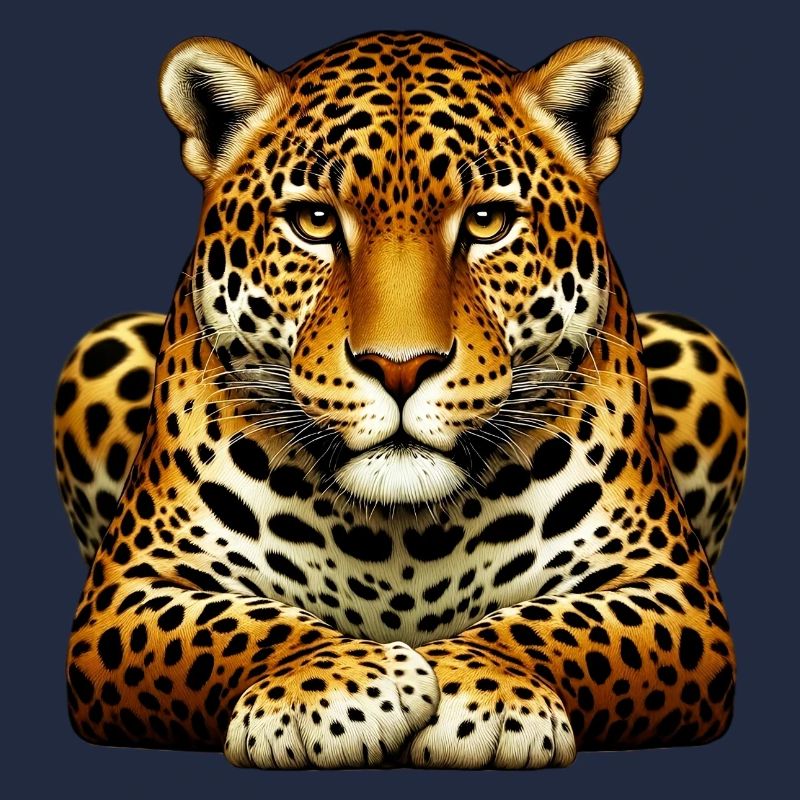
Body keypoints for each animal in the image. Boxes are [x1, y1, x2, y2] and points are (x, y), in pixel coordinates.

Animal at [55, 31, 748, 769]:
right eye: (314, 221)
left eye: (487, 221)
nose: (400, 368)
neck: (402, 538)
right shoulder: (127, 590)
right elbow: (237, 625)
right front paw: (326, 688)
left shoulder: (674, 590)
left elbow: (561, 625)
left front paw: (486, 689)